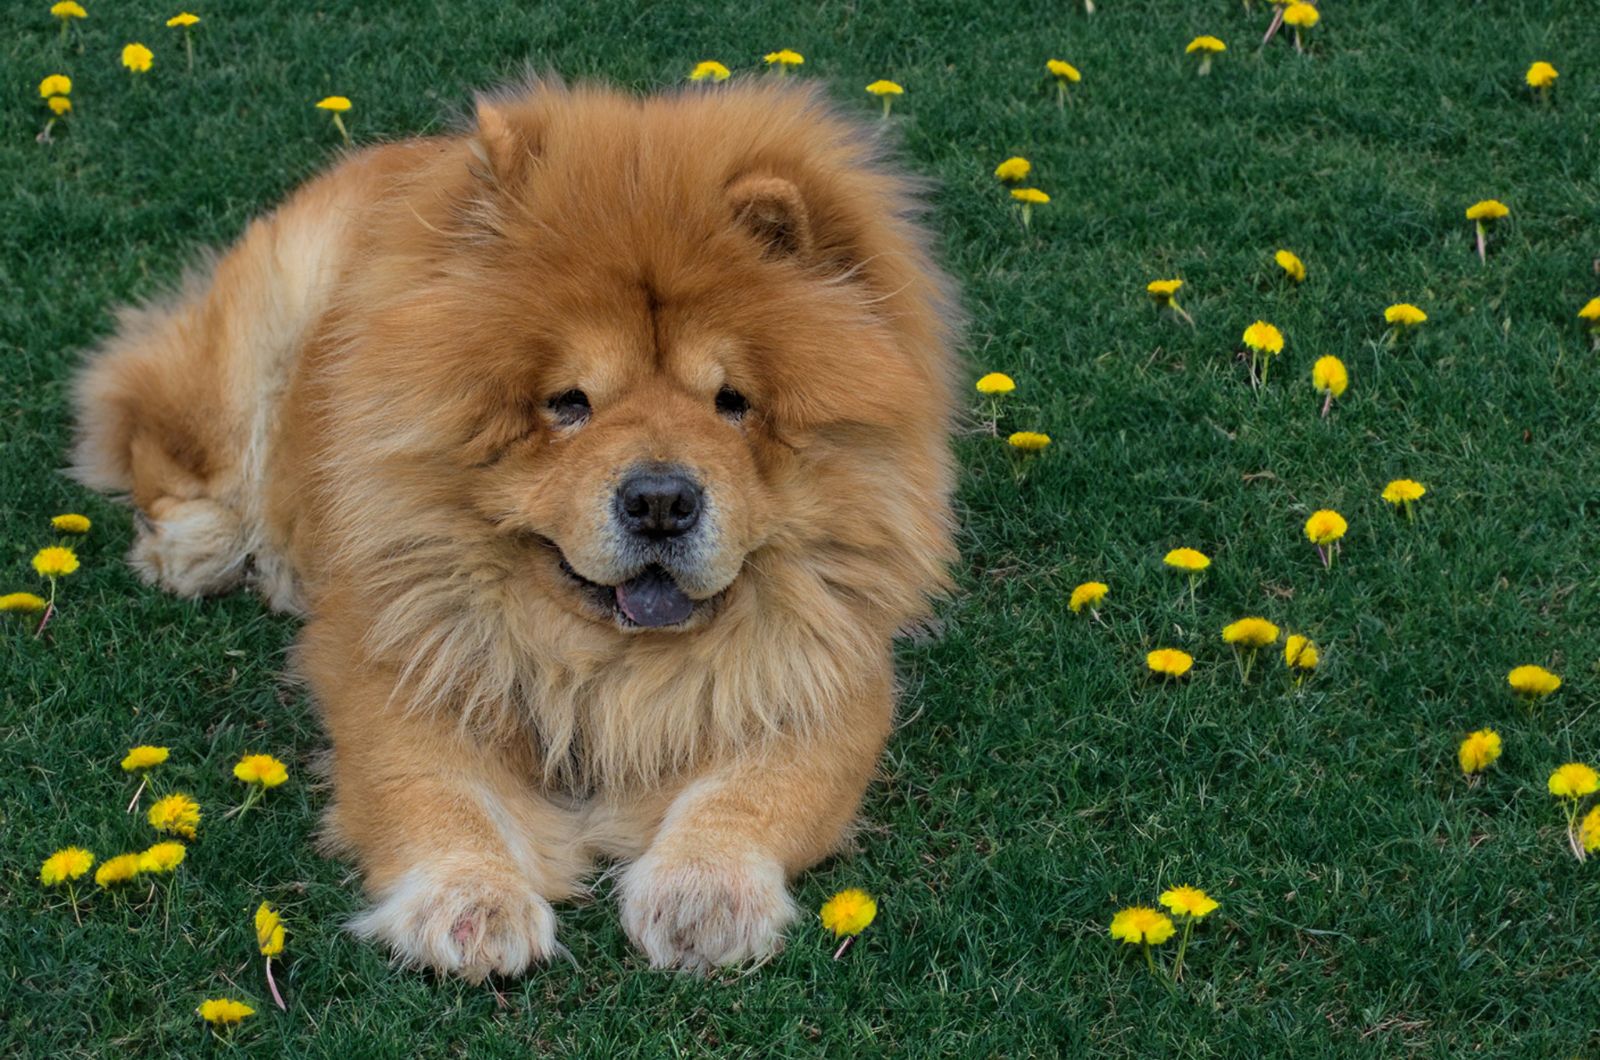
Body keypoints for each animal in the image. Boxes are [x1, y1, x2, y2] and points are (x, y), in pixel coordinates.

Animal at [68, 78, 953, 986]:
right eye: (568, 402)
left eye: (732, 402)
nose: (660, 500)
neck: (600, 663)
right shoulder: (397, 663)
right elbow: (436, 792)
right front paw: (471, 905)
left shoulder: (826, 667)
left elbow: (762, 786)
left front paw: (704, 896)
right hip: (253, 344)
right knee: (158, 430)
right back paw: (203, 547)